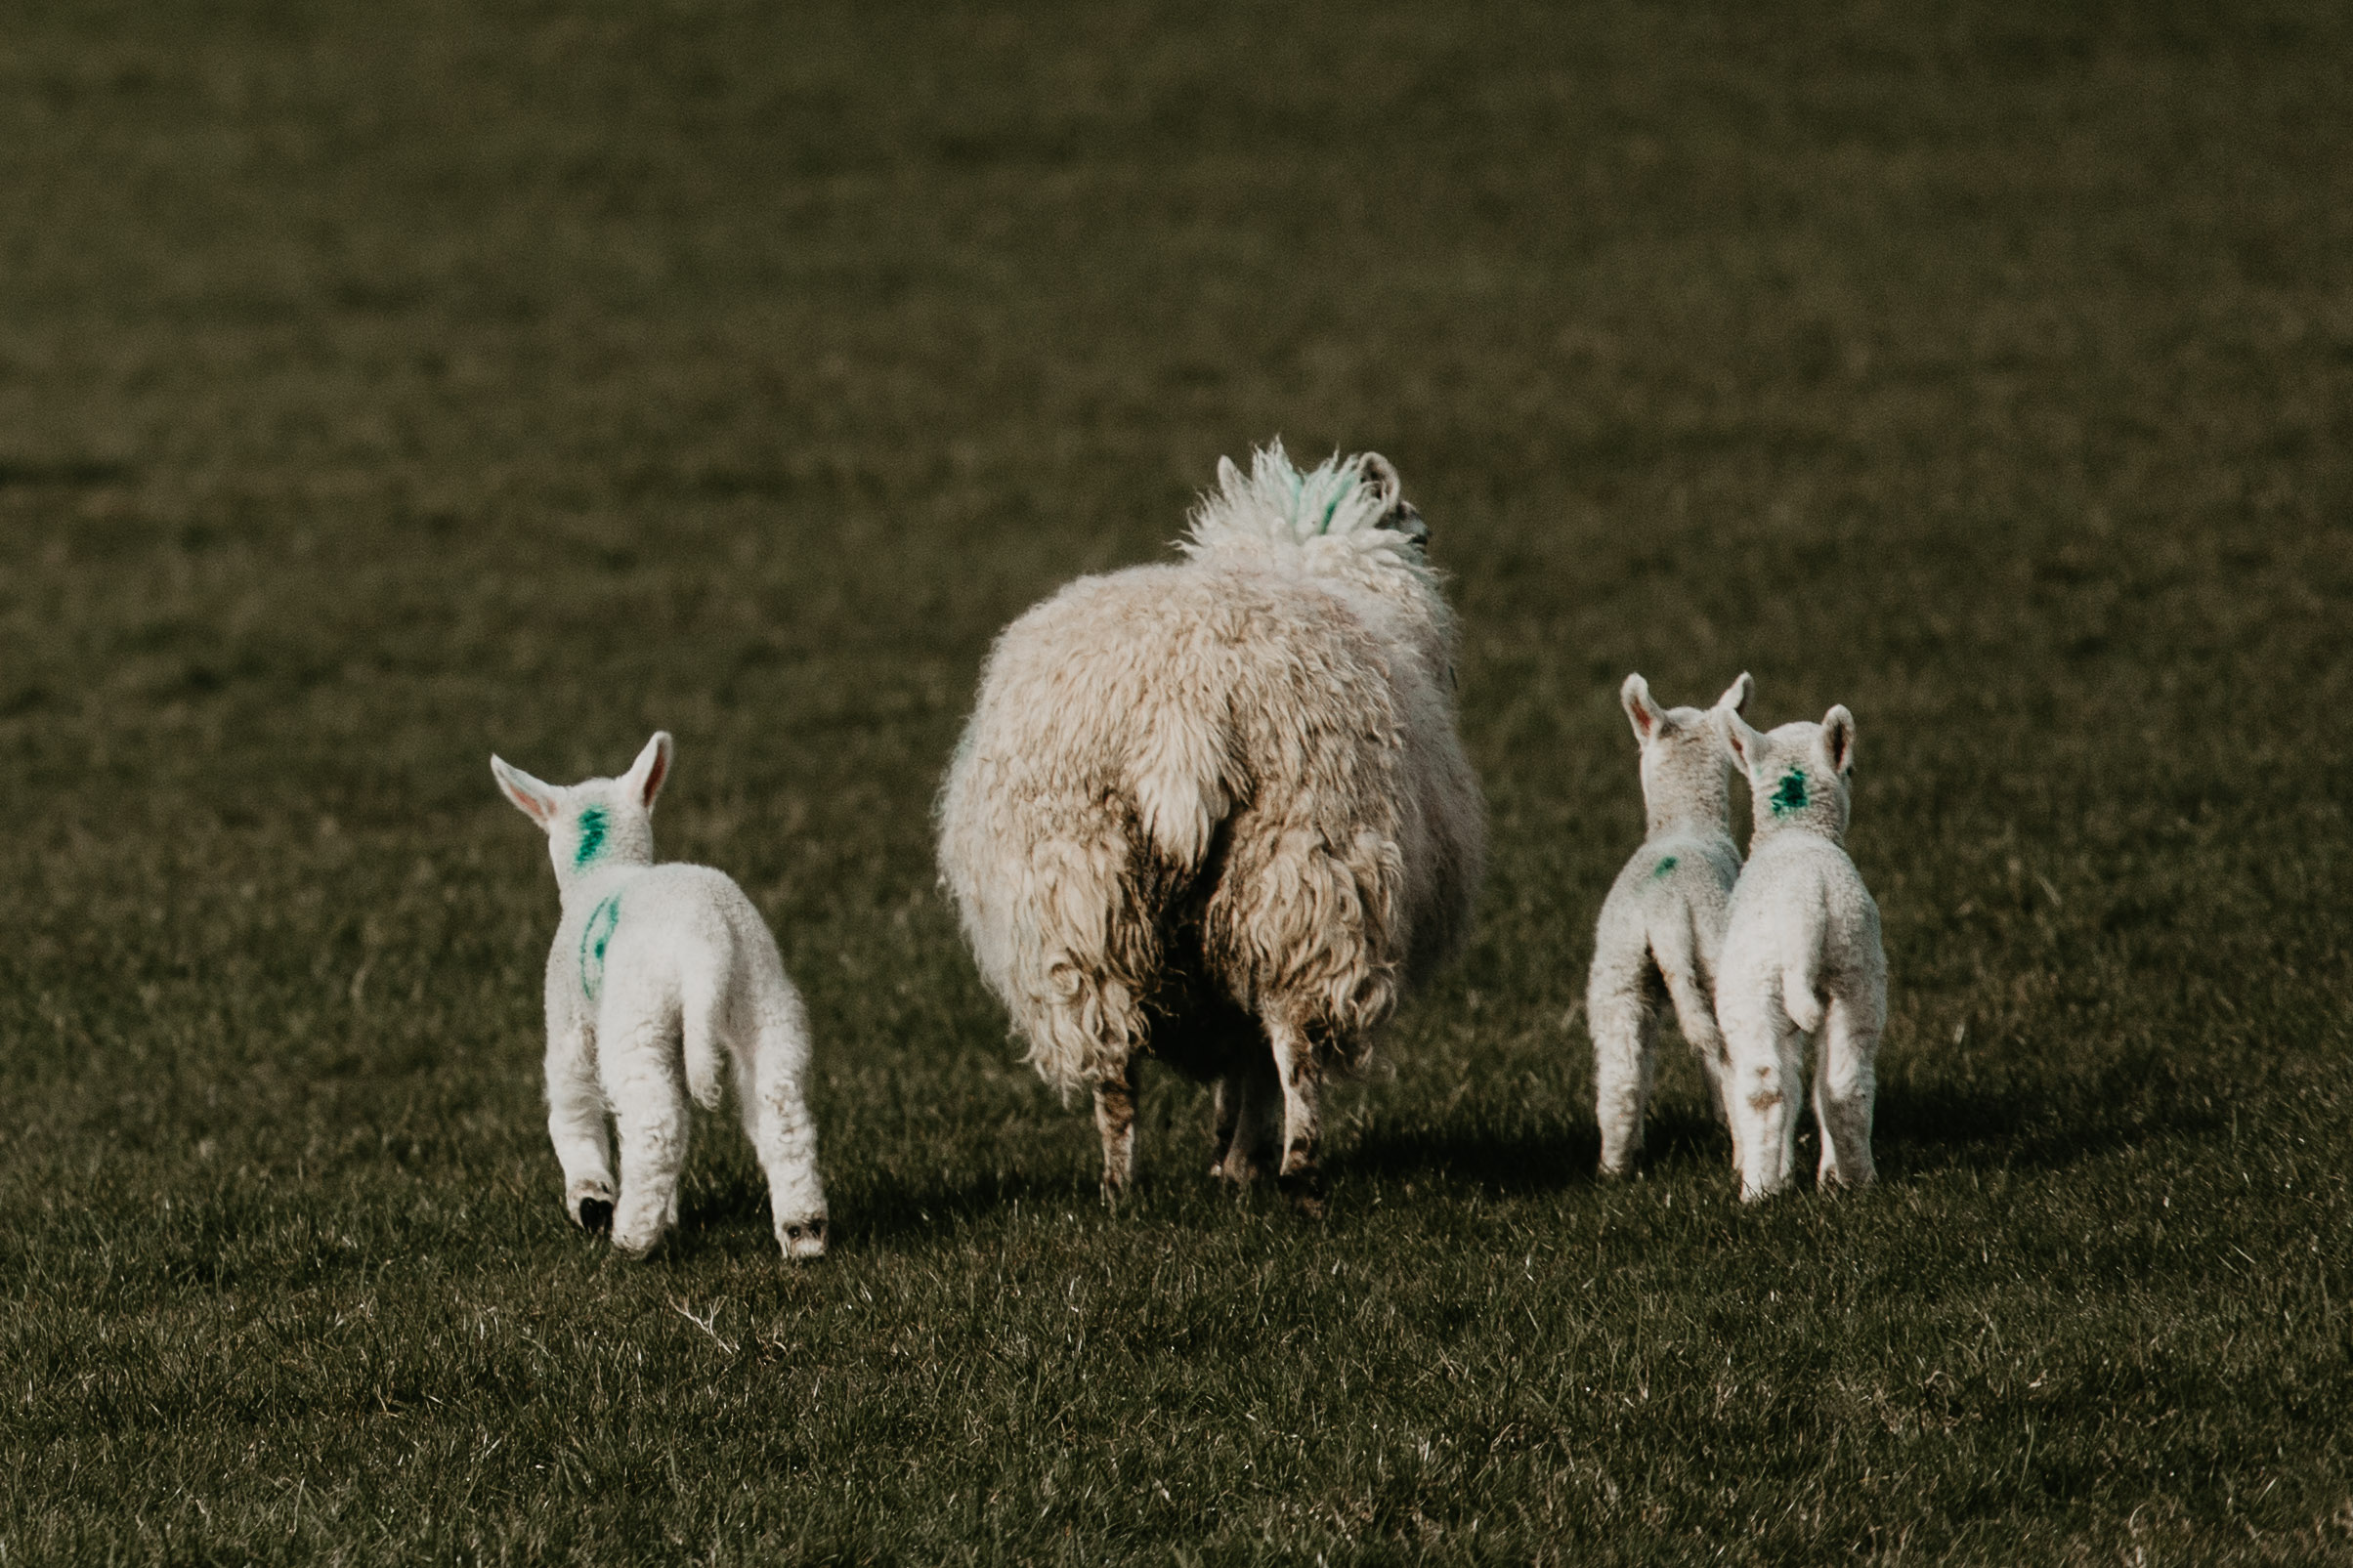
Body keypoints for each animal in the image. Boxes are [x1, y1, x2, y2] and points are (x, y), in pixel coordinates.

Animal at [492, 738, 833, 1259]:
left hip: (637, 1015)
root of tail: (707, 940)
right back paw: (804, 1230)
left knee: (656, 1124)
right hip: (763, 996)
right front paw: (666, 1213)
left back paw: (630, 1237)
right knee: (780, 1106)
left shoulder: (568, 1017)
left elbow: (572, 1105)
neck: (604, 869)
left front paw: (591, 1199)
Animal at [931, 442, 1468, 1212]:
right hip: (1301, 875)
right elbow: (1256, 1062)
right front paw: (1238, 1161)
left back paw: (1118, 1190)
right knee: (1294, 1044)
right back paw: (1297, 1177)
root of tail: (1182, 717)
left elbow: (1235, 1059)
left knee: (1114, 1070)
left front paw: (1224, 1157)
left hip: (1081, 897)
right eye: (1420, 534)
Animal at [1590, 672, 1760, 1175]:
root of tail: (1664, 911)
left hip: (1619, 975)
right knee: (1731, 1061)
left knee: (1621, 1076)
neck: (1685, 821)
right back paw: (1743, 1157)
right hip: (1714, 960)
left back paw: (1615, 1169)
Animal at [1703, 700, 1882, 1204]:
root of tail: (1808, 903)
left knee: (1766, 1085)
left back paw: (1758, 1192)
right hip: (1856, 968)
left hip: (1754, 983)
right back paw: (1854, 1180)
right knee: (1845, 1082)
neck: (1795, 829)